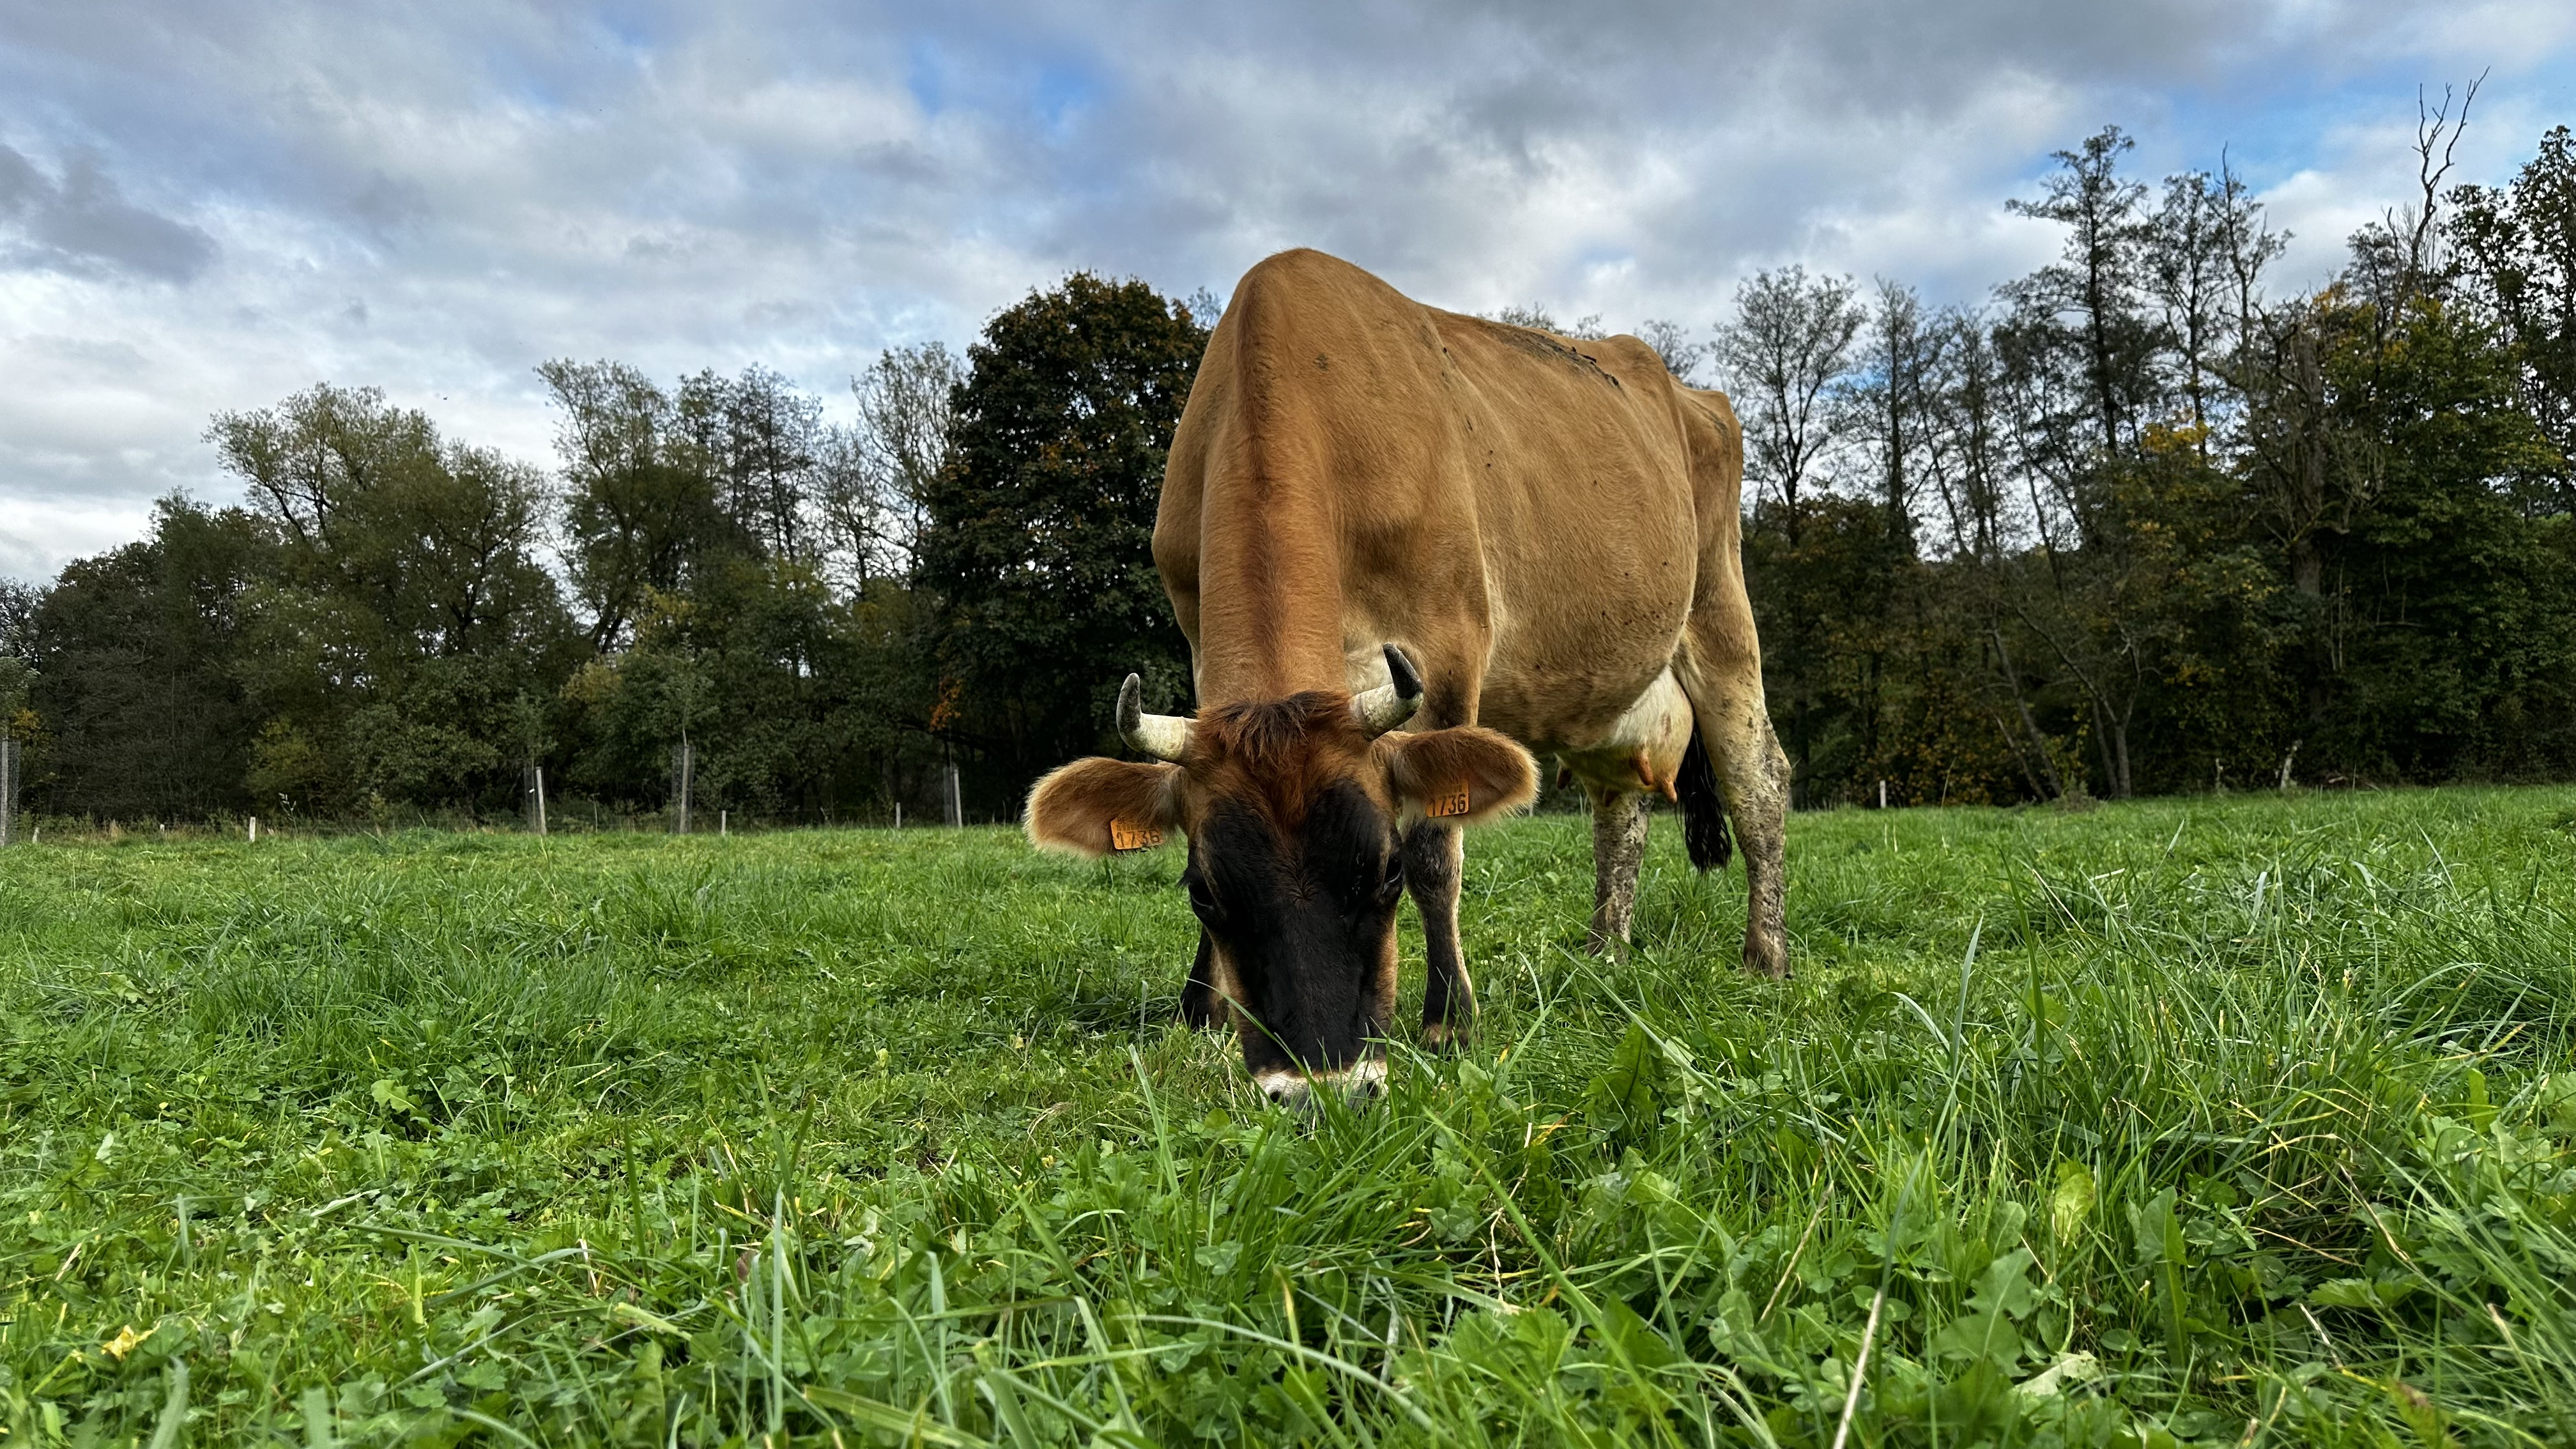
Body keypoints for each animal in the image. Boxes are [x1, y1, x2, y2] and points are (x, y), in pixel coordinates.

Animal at [1025, 248, 1788, 1105]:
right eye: (1201, 888)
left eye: (1383, 872)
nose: (1321, 1087)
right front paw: (1202, 1010)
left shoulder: (1448, 646)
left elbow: (1436, 851)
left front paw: (1450, 1019)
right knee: (1620, 813)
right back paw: (1604, 956)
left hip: (1721, 612)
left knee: (1759, 783)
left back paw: (1766, 957)